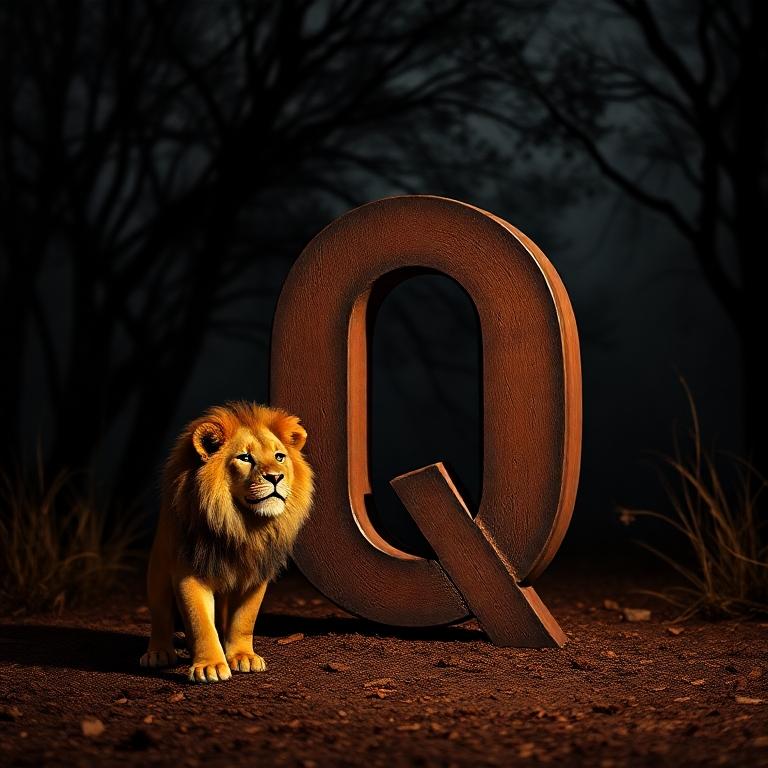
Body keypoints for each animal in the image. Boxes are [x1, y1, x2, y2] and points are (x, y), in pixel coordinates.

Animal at [139, 401, 314, 683]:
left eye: (280, 457)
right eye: (245, 458)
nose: (276, 477)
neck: (243, 526)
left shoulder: (255, 574)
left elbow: (244, 619)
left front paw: (242, 657)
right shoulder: (188, 571)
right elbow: (200, 622)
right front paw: (209, 665)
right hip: (158, 571)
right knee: (161, 616)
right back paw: (158, 653)